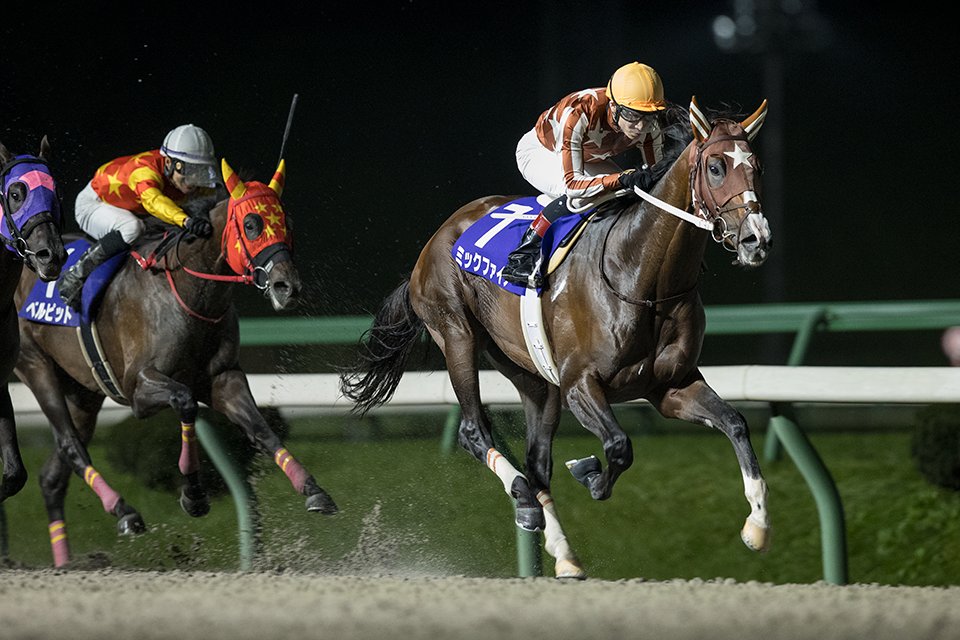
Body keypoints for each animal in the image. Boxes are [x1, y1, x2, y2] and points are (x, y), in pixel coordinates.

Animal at [14, 157, 337, 567]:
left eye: (288, 223)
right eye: (251, 224)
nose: (287, 286)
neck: (190, 291)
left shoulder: (223, 379)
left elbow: (261, 428)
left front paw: (312, 489)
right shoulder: (139, 388)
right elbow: (185, 403)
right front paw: (194, 496)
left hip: (83, 394)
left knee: (52, 477)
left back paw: (69, 560)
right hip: (35, 364)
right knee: (70, 444)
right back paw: (125, 512)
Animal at [340, 97, 774, 579]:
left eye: (756, 167)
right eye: (716, 167)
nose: (756, 239)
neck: (642, 274)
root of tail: (437, 238)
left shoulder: (669, 386)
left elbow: (734, 422)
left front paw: (757, 525)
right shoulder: (580, 384)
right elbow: (619, 447)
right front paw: (590, 473)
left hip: (531, 376)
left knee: (537, 460)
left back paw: (564, 553)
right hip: (456, 333)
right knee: (474, 431)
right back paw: (524, 500)